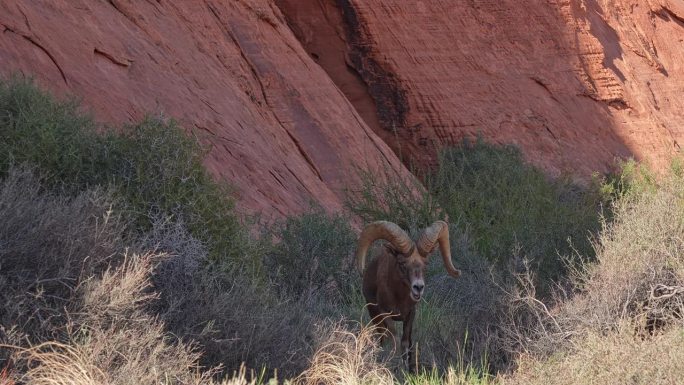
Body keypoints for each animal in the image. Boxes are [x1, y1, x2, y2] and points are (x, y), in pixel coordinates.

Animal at [356, 220, 462, 370]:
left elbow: (405, 342)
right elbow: (394, 340)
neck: (399, 299)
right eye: (402, 263)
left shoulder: (410, 315)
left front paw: (406, 368)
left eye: (426, 263)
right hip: (375, 316)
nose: (418, 287)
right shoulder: (385, 313)